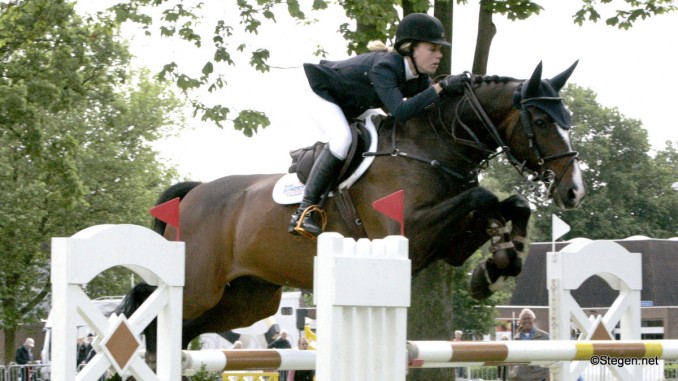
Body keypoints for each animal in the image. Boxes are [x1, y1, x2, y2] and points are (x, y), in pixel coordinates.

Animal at [117, 60, 584, 354]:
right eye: (541, 121)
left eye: (568, 120)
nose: (574, 192)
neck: (430, 147)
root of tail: (193, 193)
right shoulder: (409, 232)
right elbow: (483, 197)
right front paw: (495, 264)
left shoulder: (446, 244)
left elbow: (509, 203)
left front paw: (498, 264)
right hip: (199, 284)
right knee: (147, 299)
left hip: (249, 298)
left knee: (183, 327)